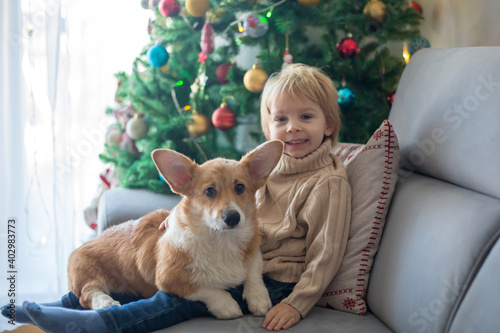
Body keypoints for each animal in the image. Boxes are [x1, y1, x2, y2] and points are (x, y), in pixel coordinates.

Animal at [68, 140, 284, 320]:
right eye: (210, 191)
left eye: (240, 188)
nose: (233, 218)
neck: (222, 240)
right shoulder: (169, 279)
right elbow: (208, 289)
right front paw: (227, 306)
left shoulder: (254, 254)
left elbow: (253, 273)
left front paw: (259, 299)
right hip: (86, 272)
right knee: (88, 293)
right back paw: (106, 302)